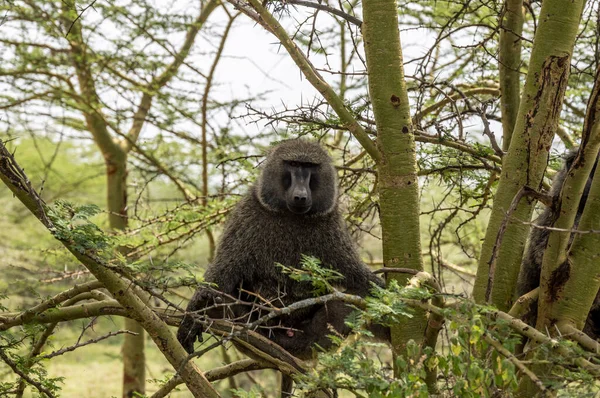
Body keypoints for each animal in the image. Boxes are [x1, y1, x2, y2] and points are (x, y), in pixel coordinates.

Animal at [176, 140, 390, 360]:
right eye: (293, 164)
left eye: (309, 167)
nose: (300, 195)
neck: (290, 215)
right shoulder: (247, 215)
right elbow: (223, 271)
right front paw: (192, 318)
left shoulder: (331, 225)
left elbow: (357, 276)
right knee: (222, 298)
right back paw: (216, 311)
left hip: (314, 338)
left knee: (349, 302)